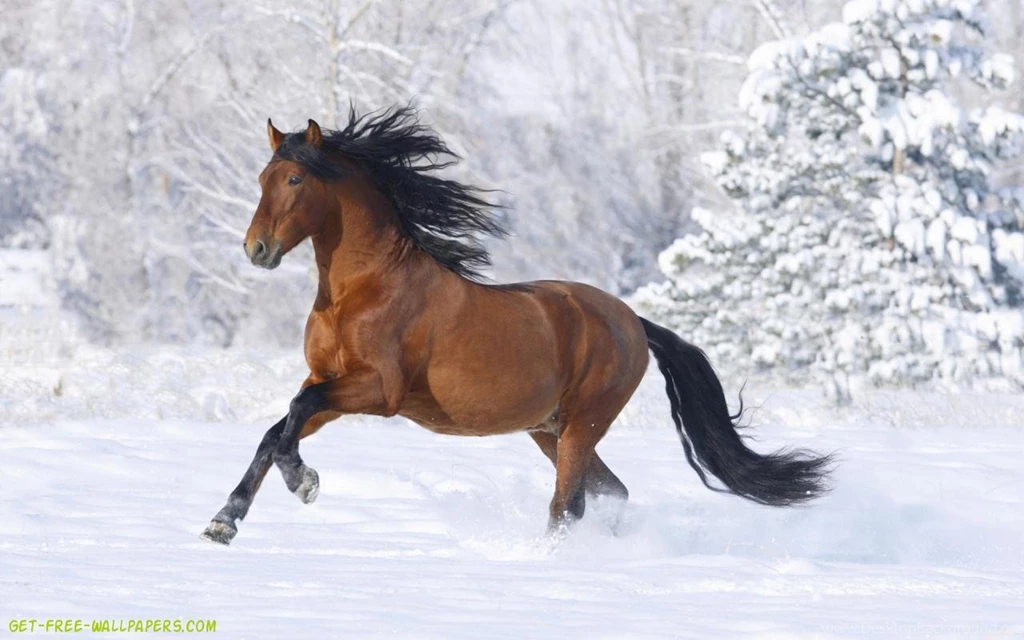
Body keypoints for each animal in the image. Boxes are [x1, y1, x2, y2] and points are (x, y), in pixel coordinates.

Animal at [201, 106, 832, 545]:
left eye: (295, 181)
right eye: (262, 178)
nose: (256, 249)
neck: (364, 290)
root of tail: (631, 319)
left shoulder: (378, 391)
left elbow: (292, 416)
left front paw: (304, 483)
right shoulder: (327, 382)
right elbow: (276, 430)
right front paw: (223, 522)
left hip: (582, 424)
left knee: (568, 504)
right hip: (548, 430)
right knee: (610, 491)